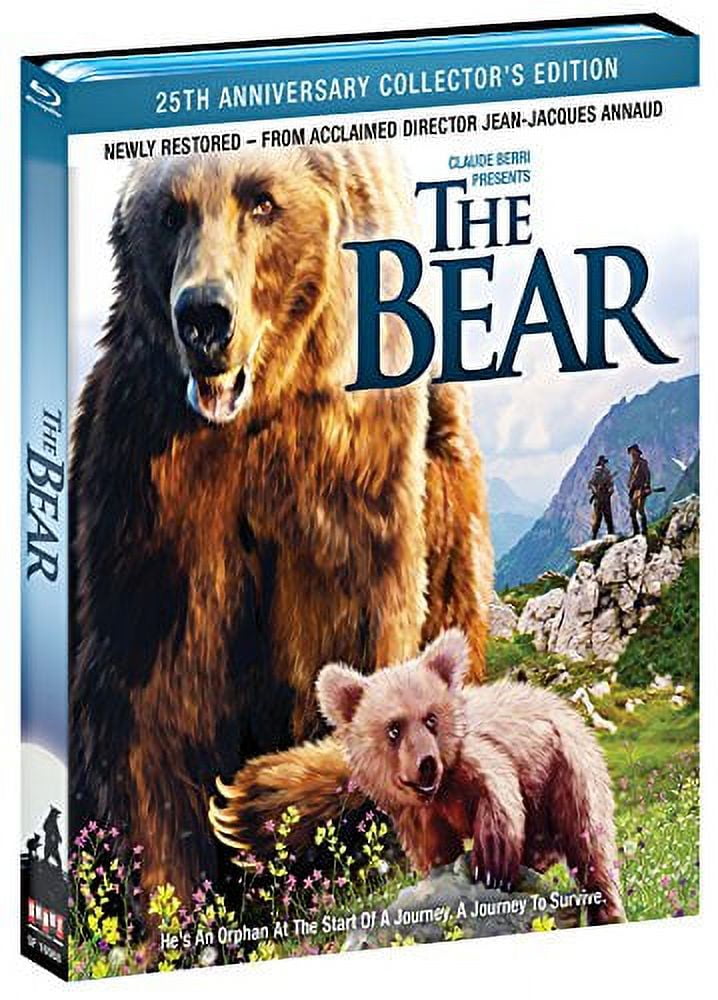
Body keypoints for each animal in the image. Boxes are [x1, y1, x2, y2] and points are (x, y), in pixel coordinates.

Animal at [70, 145, 492, 903]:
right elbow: (144, 703)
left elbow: (371, 660)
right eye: (170, 212)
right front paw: (177, 899)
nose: (204, 317)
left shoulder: (353, 490)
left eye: (262, 201)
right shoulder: (146, 490)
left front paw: (253, 802)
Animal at [315, 629, 625, 926]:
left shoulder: (479, 761)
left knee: (590, 849)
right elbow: (436, 851)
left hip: (568, 771)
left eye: (431, 719)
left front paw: (489, 865)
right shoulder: (418, 815)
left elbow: (498, 798)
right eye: (394, 728)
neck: (441, 790)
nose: (426, 764)